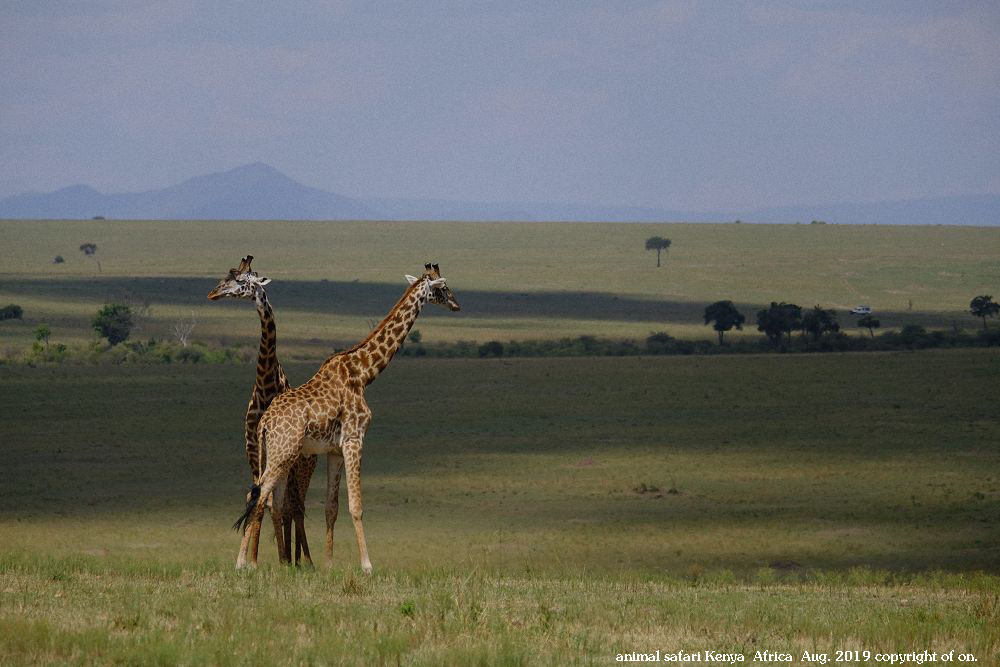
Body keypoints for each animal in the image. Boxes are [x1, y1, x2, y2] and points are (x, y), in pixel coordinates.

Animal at [209, 258, 318, 568]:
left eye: (243, 281)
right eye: (226, 277)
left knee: (295, 504)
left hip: (302, 465)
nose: (213, 293)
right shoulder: (252, 447)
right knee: (281, 501)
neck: (265, 384)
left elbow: (276, 502)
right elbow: (259, 496)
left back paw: (302, 560)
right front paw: (252, 560)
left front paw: (277, 560)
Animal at [236, 264, 462, 572]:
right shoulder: (355, 439)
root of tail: (264, 424)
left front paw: (329, 564)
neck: (363, 374)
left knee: (270, 499)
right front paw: (367, 565)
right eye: (443, 288)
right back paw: (242, 563)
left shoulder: (334, 450)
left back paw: (275, 563)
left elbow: (332, 507)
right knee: (259, 497)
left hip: (276, 454)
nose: (456, 304)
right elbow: (356, 506)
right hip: (283, 453)